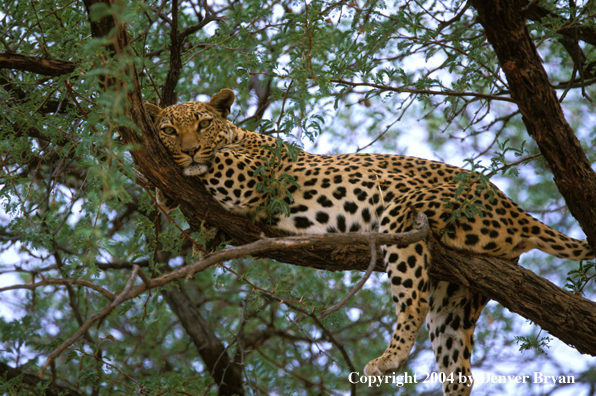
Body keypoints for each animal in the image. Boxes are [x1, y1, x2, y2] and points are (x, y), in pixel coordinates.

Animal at [146, 89, 596, 396]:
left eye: (203, 124)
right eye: (169, 129)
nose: (188, 149)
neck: (240, 134)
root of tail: (514, 208)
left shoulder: (248, 177)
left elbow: (215, 162)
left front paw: (182, 169)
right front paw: (172, 197)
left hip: (404, 215)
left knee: (412, 300)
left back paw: (387, 359)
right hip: (456, 295)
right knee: (459, 369)